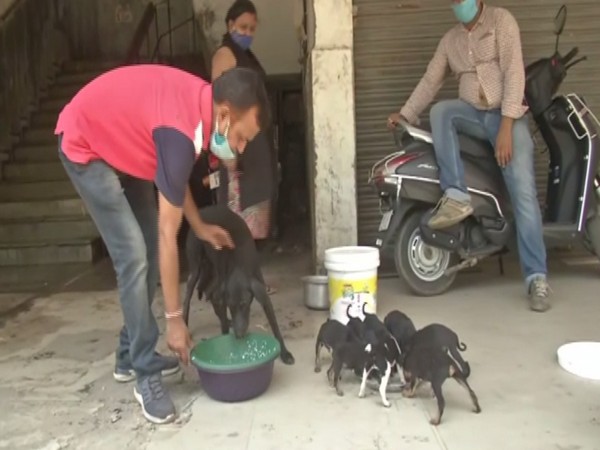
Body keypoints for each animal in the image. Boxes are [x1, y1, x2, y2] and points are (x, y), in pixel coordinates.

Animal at [183, 205, 296, 366]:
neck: (239, 264)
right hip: (196, 268)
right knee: (189, 297)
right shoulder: (225, 294)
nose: (239, 335)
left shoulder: (261, 291)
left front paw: (285, 353)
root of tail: (203, 210)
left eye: (244, 303)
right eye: (231, 305)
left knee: (211, 294)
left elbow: (275, 326)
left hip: (214, 273)